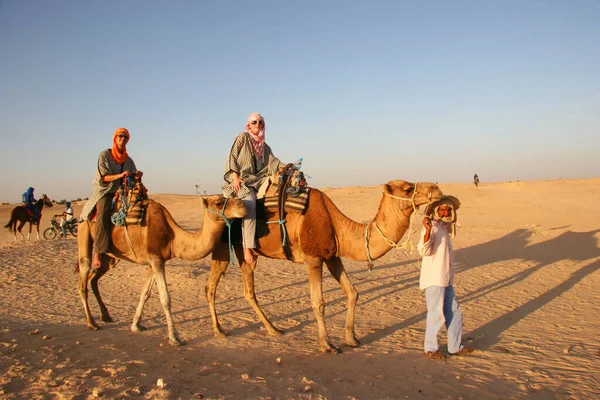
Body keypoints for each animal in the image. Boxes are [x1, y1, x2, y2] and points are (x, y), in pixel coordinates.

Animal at [79, 195, 246, 346]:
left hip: (110, 257)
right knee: (83, 277)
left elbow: (145, 293)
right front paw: (174, 338)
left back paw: (105, 316)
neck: (173, 238)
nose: (242, 204)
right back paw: (92, 323)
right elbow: (165, 298)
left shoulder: (155, 262)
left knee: (93, 278)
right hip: (84, 232)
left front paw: (135, 326)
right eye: (218, 202)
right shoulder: (156, 259)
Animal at [209, 180, 442, 354]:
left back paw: (273, 329)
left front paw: (351, 338)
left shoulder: (332, 257)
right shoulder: (313, 258)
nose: (436, 188)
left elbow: (352, 293)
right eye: (408, 188)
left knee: (248, 291)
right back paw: (219, 330)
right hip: (224, 247)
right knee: (211, 287)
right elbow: (318, 302)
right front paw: (327, 344)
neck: (336, 224)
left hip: (246, 255)